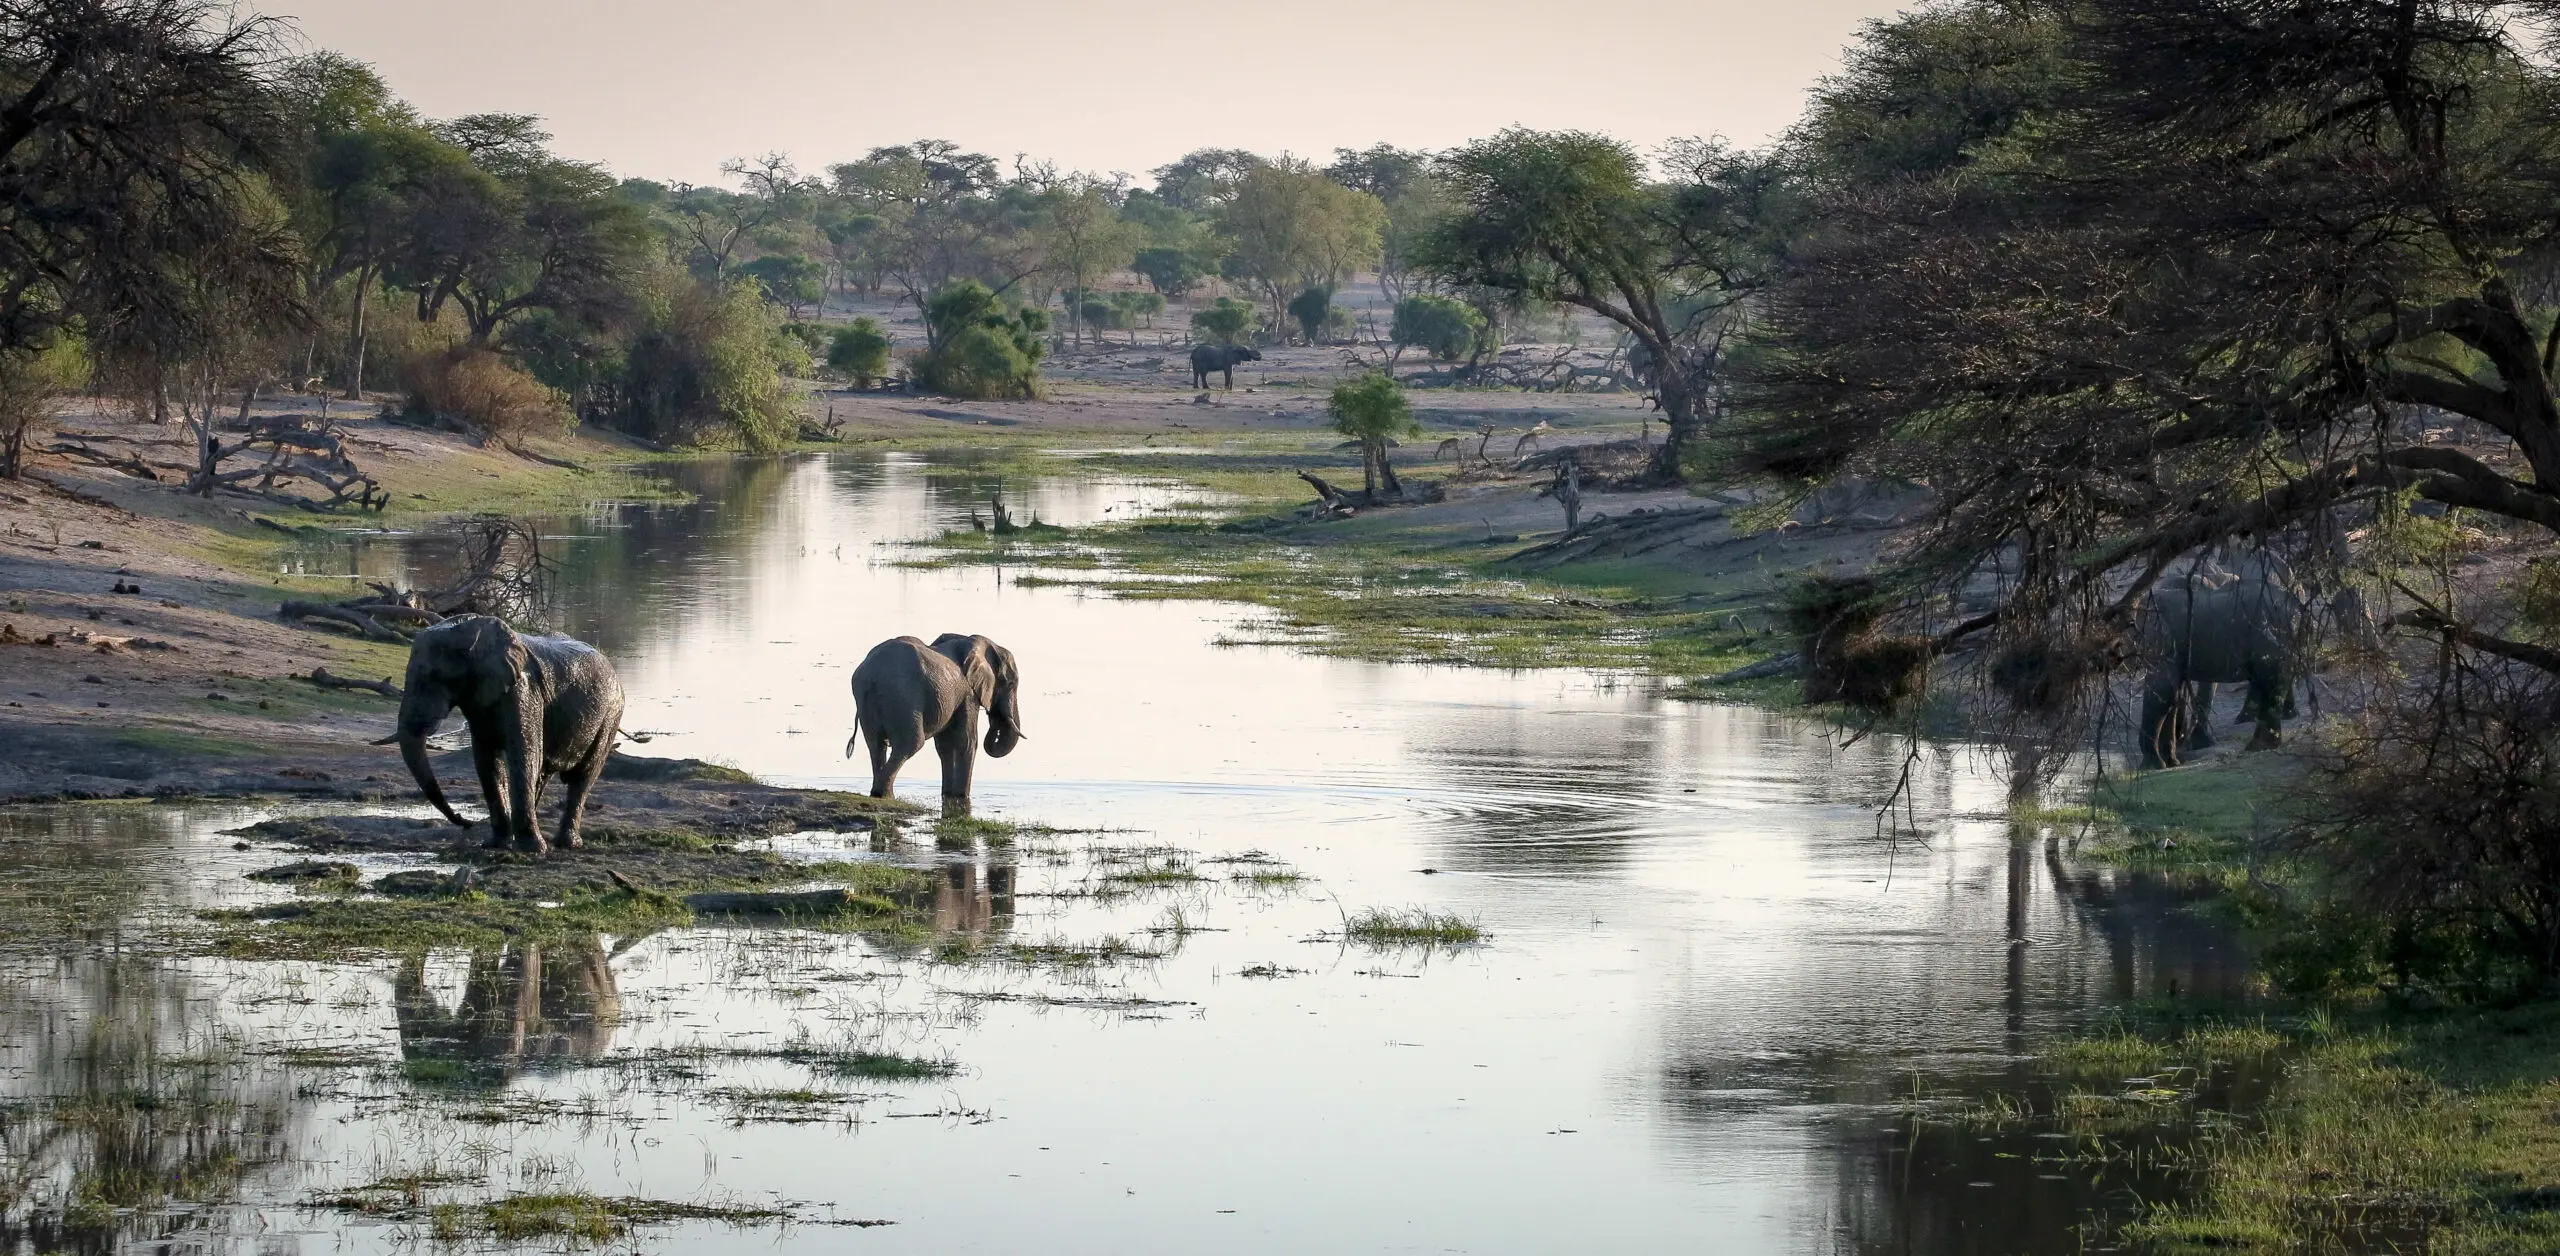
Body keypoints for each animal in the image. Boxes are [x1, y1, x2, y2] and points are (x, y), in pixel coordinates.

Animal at [395, 614, 624, 854]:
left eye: (433, 677)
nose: (464, 821)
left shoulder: (524, 691)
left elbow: (523, 755)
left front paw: (532, 850)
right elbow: (487, 762)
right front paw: (495, 845)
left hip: (611, 715)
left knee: (582, 777)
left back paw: (567, 843)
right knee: (544, 772)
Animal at [847, 633, 1024, 804]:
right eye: (1011, 683)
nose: (995, 719)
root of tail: (873, 672)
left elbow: (945, 746)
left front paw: (948, 794)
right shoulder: (968, 693)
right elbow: (967, 742)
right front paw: (962, 797)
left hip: (865, 697)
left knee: (876, 744)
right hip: (903, 696)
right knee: (910, 743)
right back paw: (884, 794)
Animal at [2137, 555, 2306, 769]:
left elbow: (2162, 689)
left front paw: (2154, 766)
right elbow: (2172, 691)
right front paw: (2172, 762)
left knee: (2270, 678)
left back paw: (2257, 745)